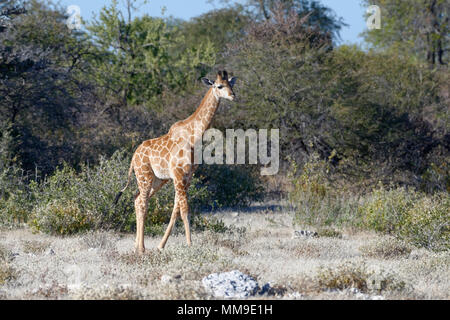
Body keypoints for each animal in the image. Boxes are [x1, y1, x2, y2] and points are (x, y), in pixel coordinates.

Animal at [114, 70, 237, 255]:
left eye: (231, 84)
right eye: (219, 86)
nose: (233, 96)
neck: (194, 136)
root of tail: (133, 157)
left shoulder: (187, 176)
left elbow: (176, 209)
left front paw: (161, 245)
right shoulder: (179, 174)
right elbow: (185, 209)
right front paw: (190, 245)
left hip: (158, 180)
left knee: (137, 199)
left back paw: (137, 246)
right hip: (145, 176)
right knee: (142, 203)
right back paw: (141, 248)